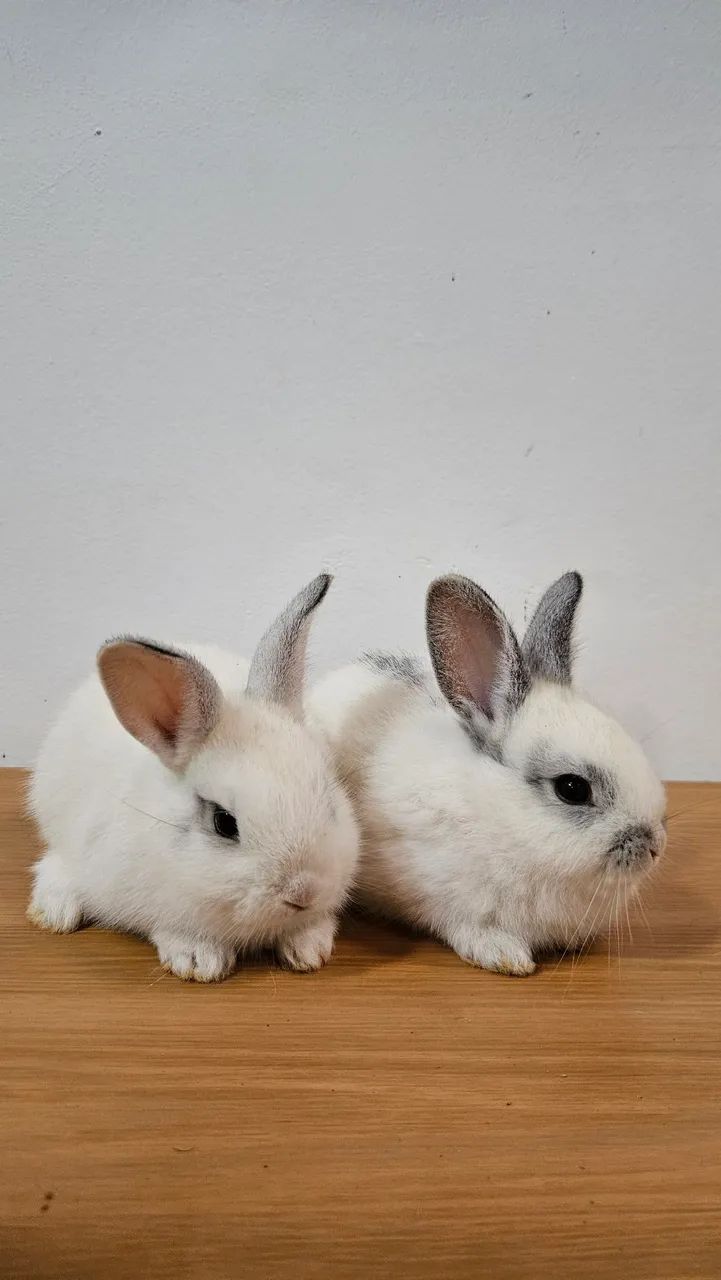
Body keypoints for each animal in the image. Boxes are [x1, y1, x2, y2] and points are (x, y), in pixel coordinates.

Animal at [28, 573, 360, 981]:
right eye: (224, 823)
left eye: (331, 805)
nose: (302, 893)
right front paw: (199, 961)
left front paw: (310, 948)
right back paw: (56, 910)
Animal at [309, 571, 667, 976]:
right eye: (572, 788)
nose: (655, 846)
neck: (498, 817)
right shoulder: (442, 894)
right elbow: (468, 926)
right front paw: (505, 956)